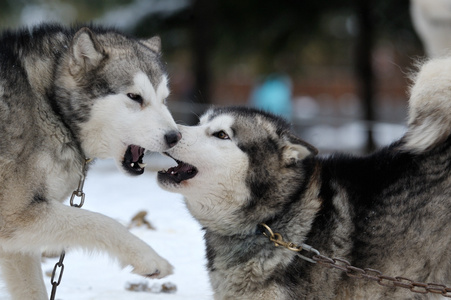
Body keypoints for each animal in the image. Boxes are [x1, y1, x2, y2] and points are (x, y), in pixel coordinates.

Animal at [0, 24, 181, 300]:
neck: (52, 106)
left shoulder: (15, 239)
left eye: (164, 99)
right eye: (135, 97)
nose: (175, 137)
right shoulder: (15, 214)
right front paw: (149, 259)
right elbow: (100, 222)